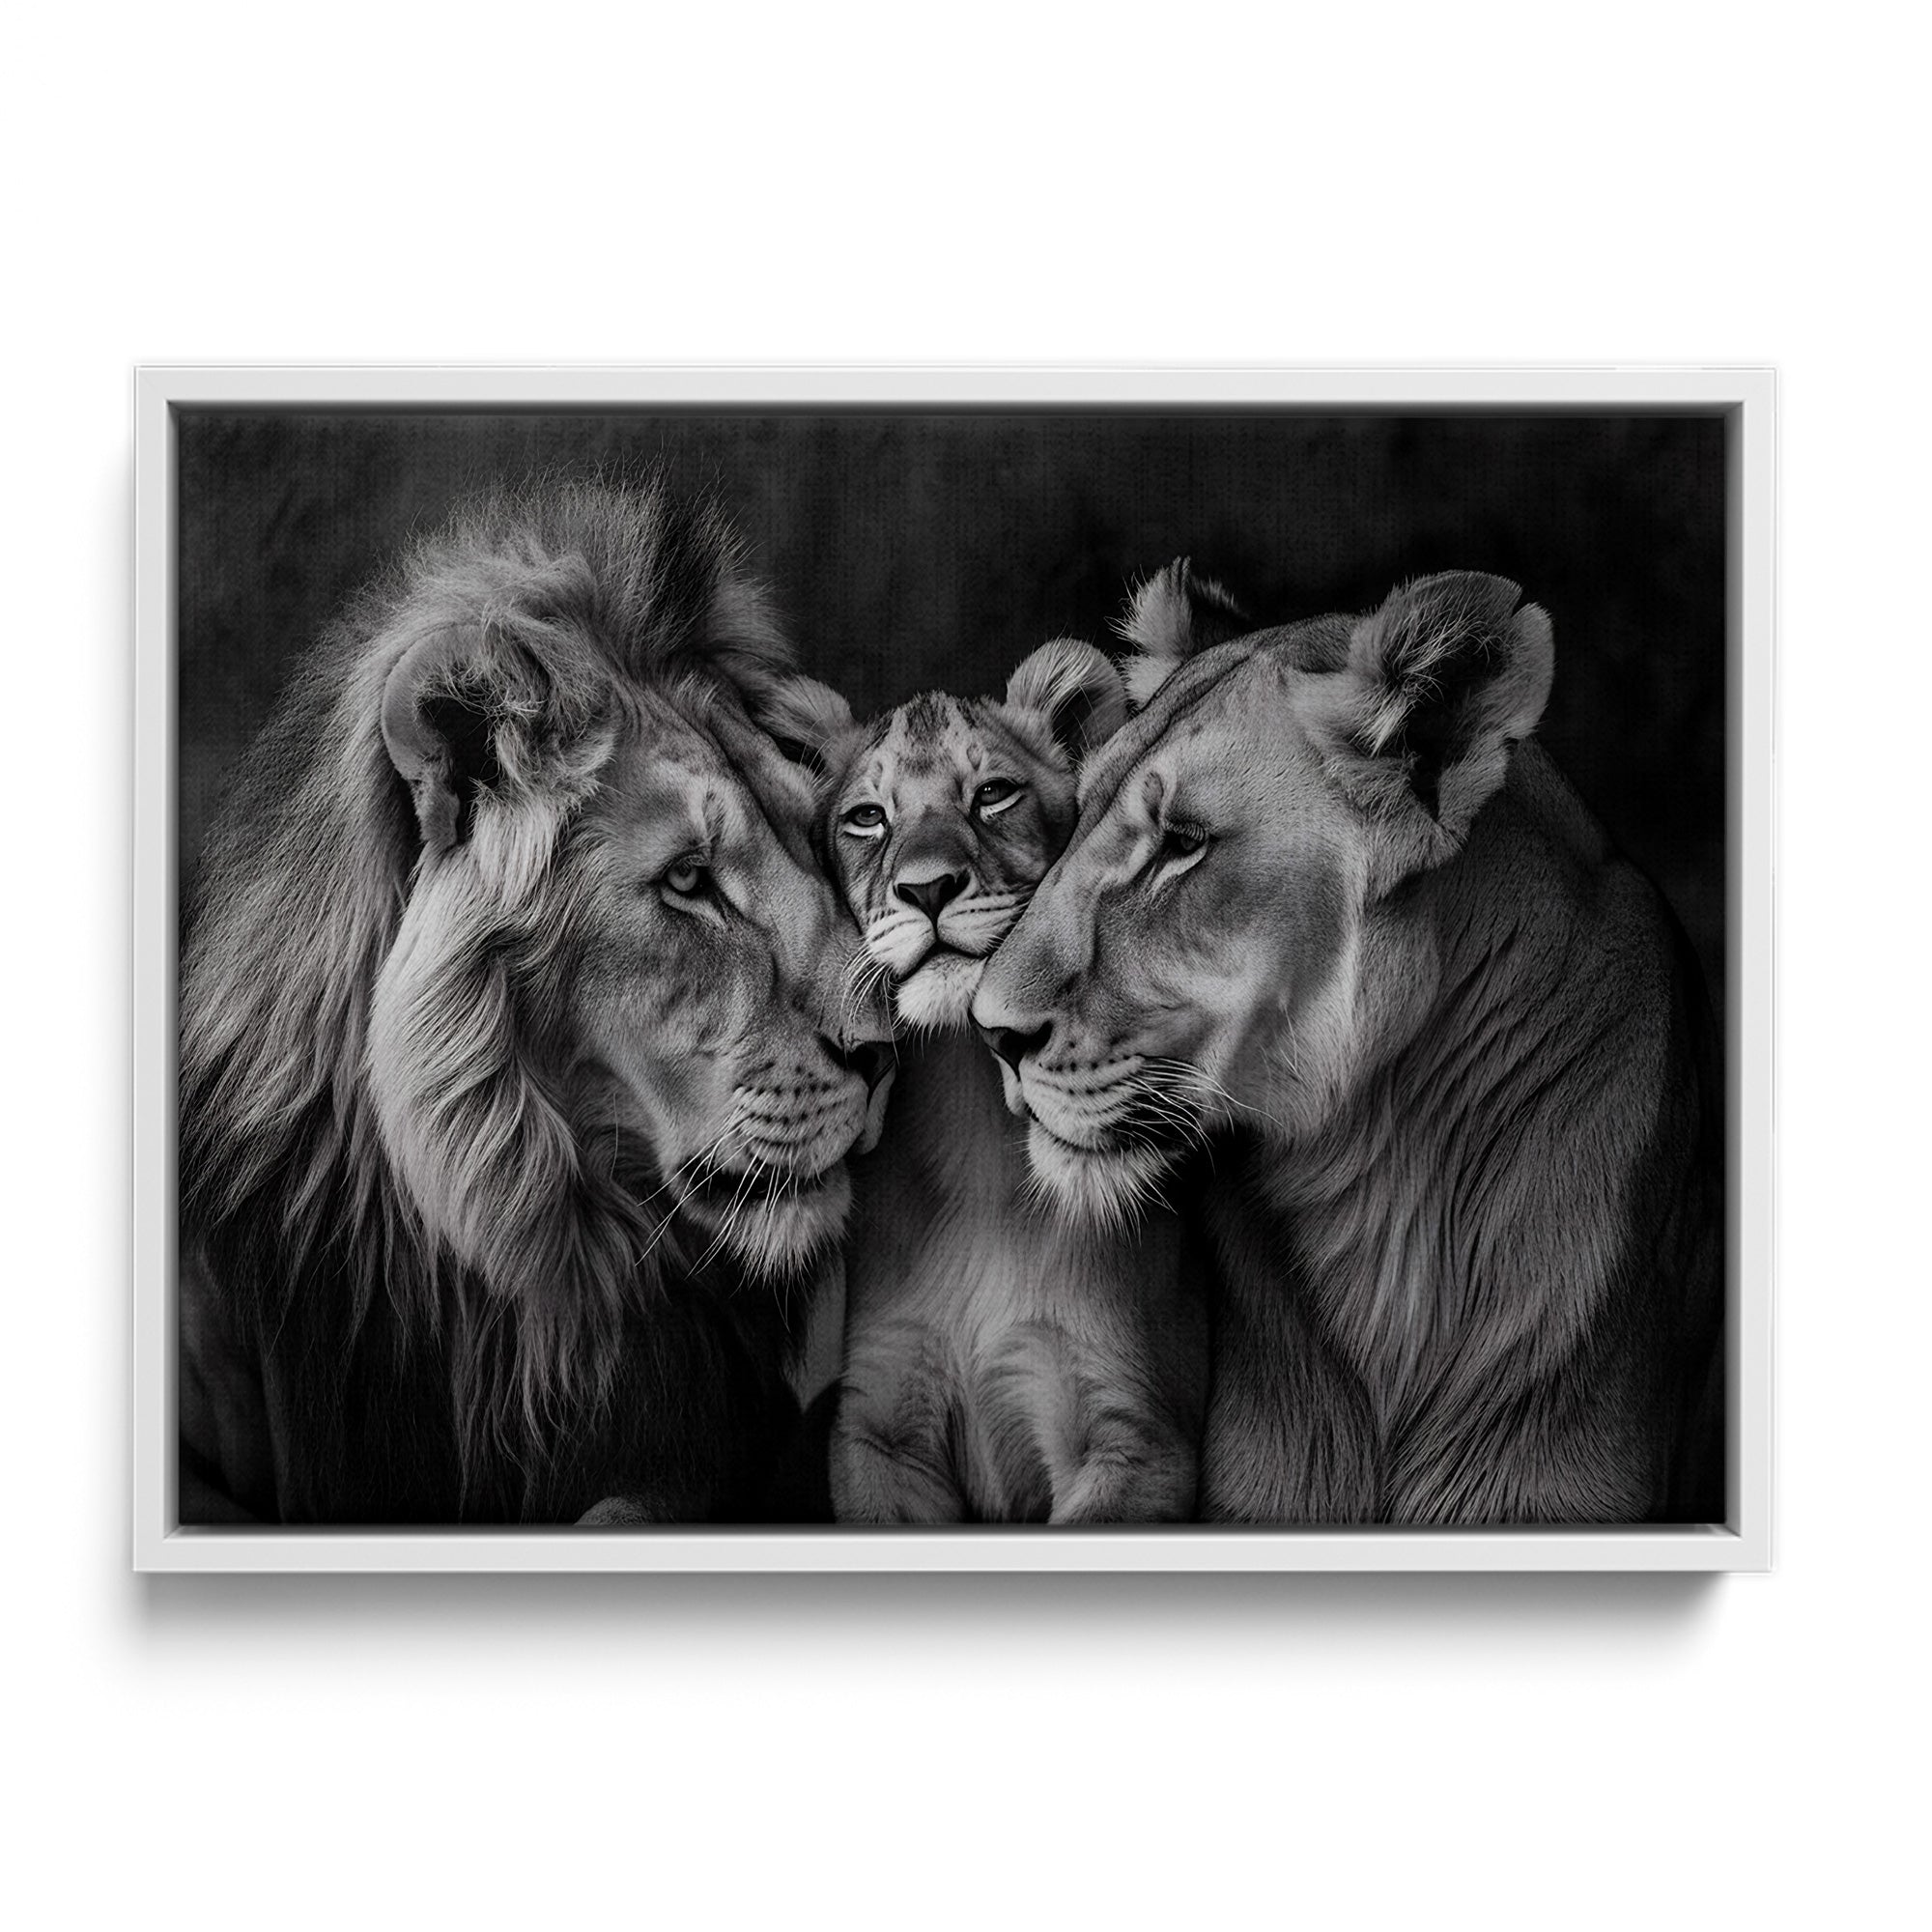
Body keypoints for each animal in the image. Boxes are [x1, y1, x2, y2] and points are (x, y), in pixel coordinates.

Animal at [770, 644, 1209, 1522]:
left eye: (993, 794)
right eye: (868, 817)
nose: (928, 888)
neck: (969, 1114)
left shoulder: (1136, 1437)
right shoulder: (879, 1426)